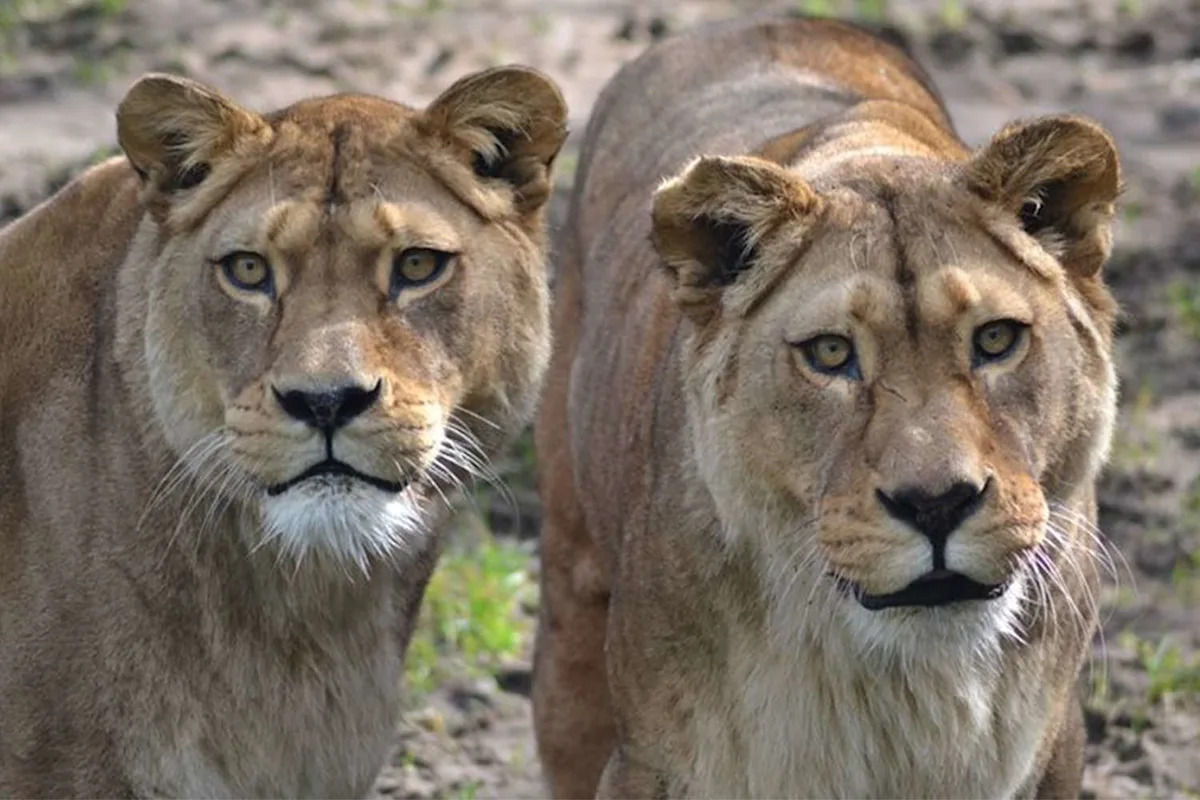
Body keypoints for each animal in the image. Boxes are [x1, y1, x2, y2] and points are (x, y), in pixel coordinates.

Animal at [533, 16, 1119, 800]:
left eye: (995, 339)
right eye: (832, 354)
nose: (936, 504)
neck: (903, 686)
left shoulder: (1055, 749)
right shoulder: (650, 763)